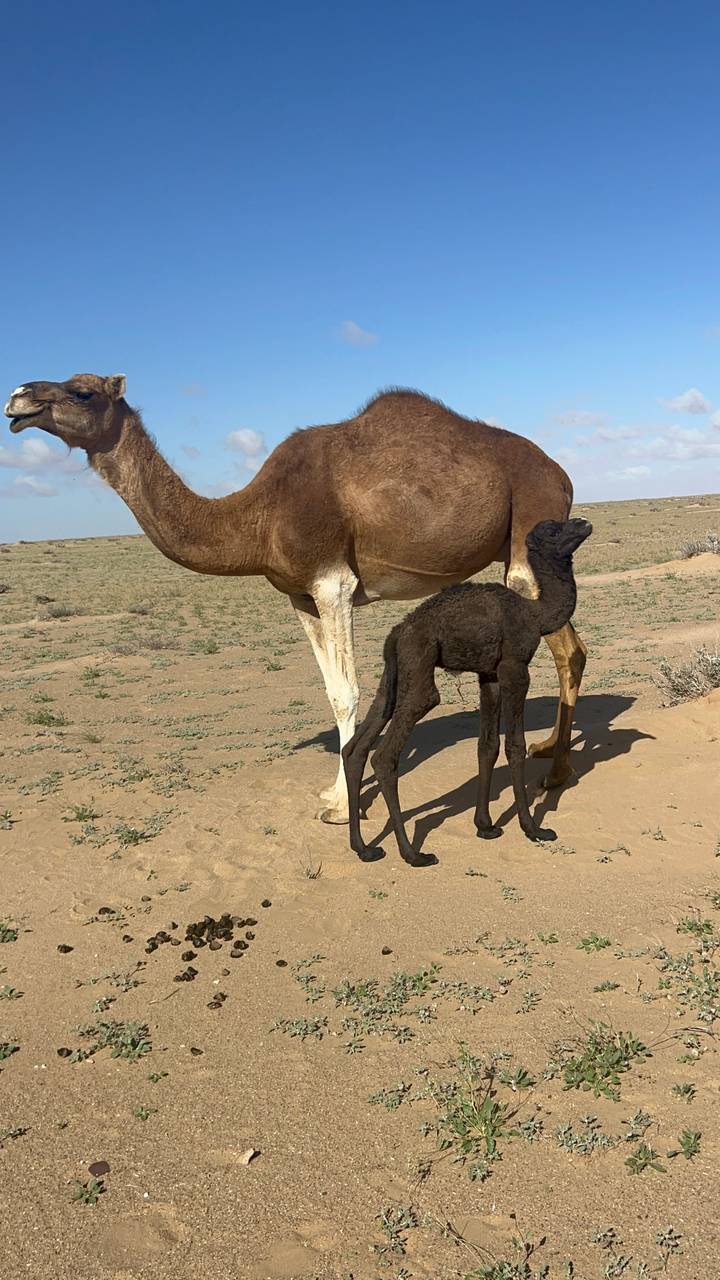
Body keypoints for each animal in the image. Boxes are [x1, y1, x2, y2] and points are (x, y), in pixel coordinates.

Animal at [4, 374, 587, 822]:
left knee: (564, 649)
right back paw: (551, 753)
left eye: (82, 391)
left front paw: (341, 806)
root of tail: (561, 474)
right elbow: (331, 691)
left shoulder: (334, 583)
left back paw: (557, 773)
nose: (18, 397)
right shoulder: (300, 597)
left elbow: (349, 692)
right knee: (573, 650)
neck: (257, 515)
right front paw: (335, 791)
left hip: (527, 536)